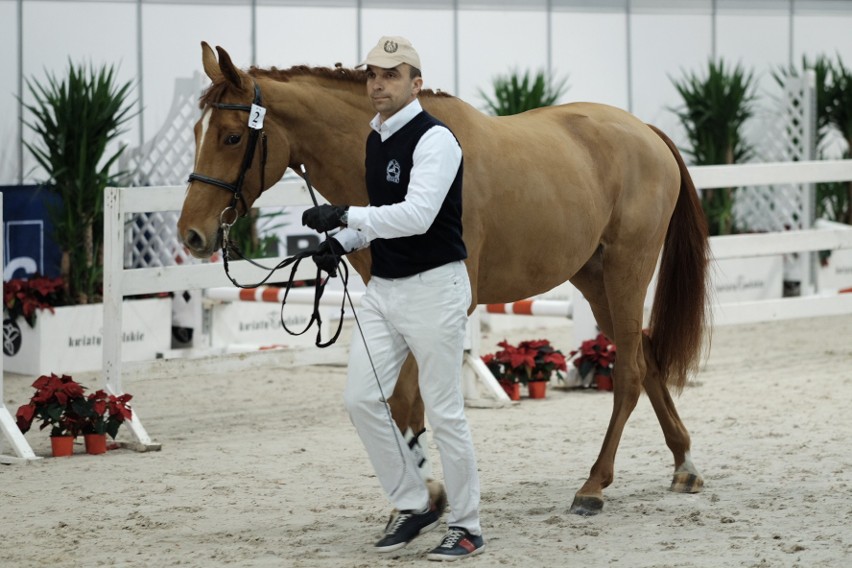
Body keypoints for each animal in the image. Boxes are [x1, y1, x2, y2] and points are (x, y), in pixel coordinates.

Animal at [178, 42, 712, 516]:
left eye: (232, 136)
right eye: (197, 131)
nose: (192, 234)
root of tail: (644, 131)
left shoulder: (445, 308)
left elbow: (406, 404)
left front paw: (427, 495)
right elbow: (402, 407)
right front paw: (418, 497)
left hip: (627, 270)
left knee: (628, 373)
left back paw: (594, 486)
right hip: (593, 276)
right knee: (646, 357)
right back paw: (684, 464)